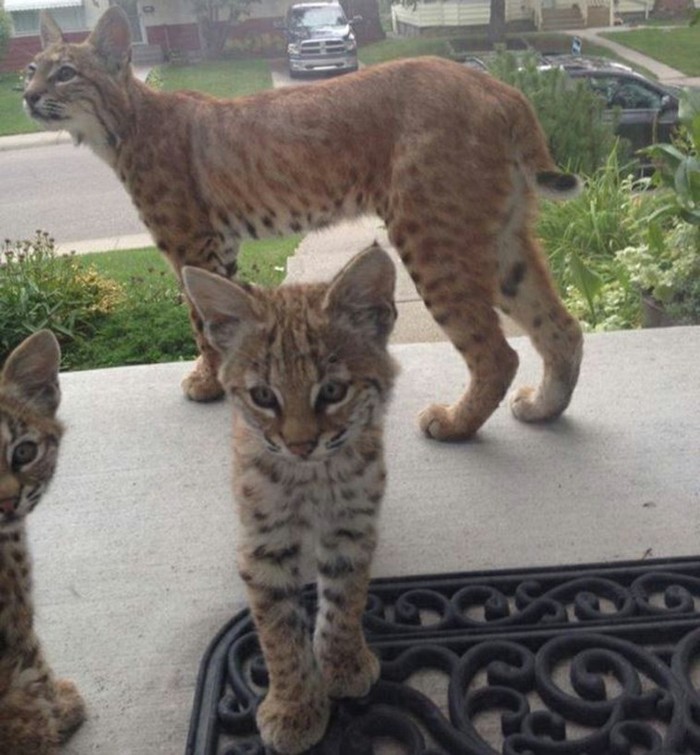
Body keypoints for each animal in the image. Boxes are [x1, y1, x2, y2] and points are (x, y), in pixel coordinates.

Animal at [24, 7, 584, 442]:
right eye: (31, 68)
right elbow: (223, 313)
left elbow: (200, 322)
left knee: (496, 352)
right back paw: (543, 408)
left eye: (65, 74)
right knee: (561, 326)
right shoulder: (221, 245)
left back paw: (453, 424)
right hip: (499, 237)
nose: (26, 96)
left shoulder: (186, 243)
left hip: (430, 233)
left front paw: (206, 384)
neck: (121, 126)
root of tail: (495, 83)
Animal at [183, 245, 396, 752]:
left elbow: (345, 599)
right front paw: (294, 705)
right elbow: (277, 630)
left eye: (333, 391)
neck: (312, 477)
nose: (300, 445)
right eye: (263, 396)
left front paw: (343, 662)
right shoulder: (264, 541)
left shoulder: (351, 523)